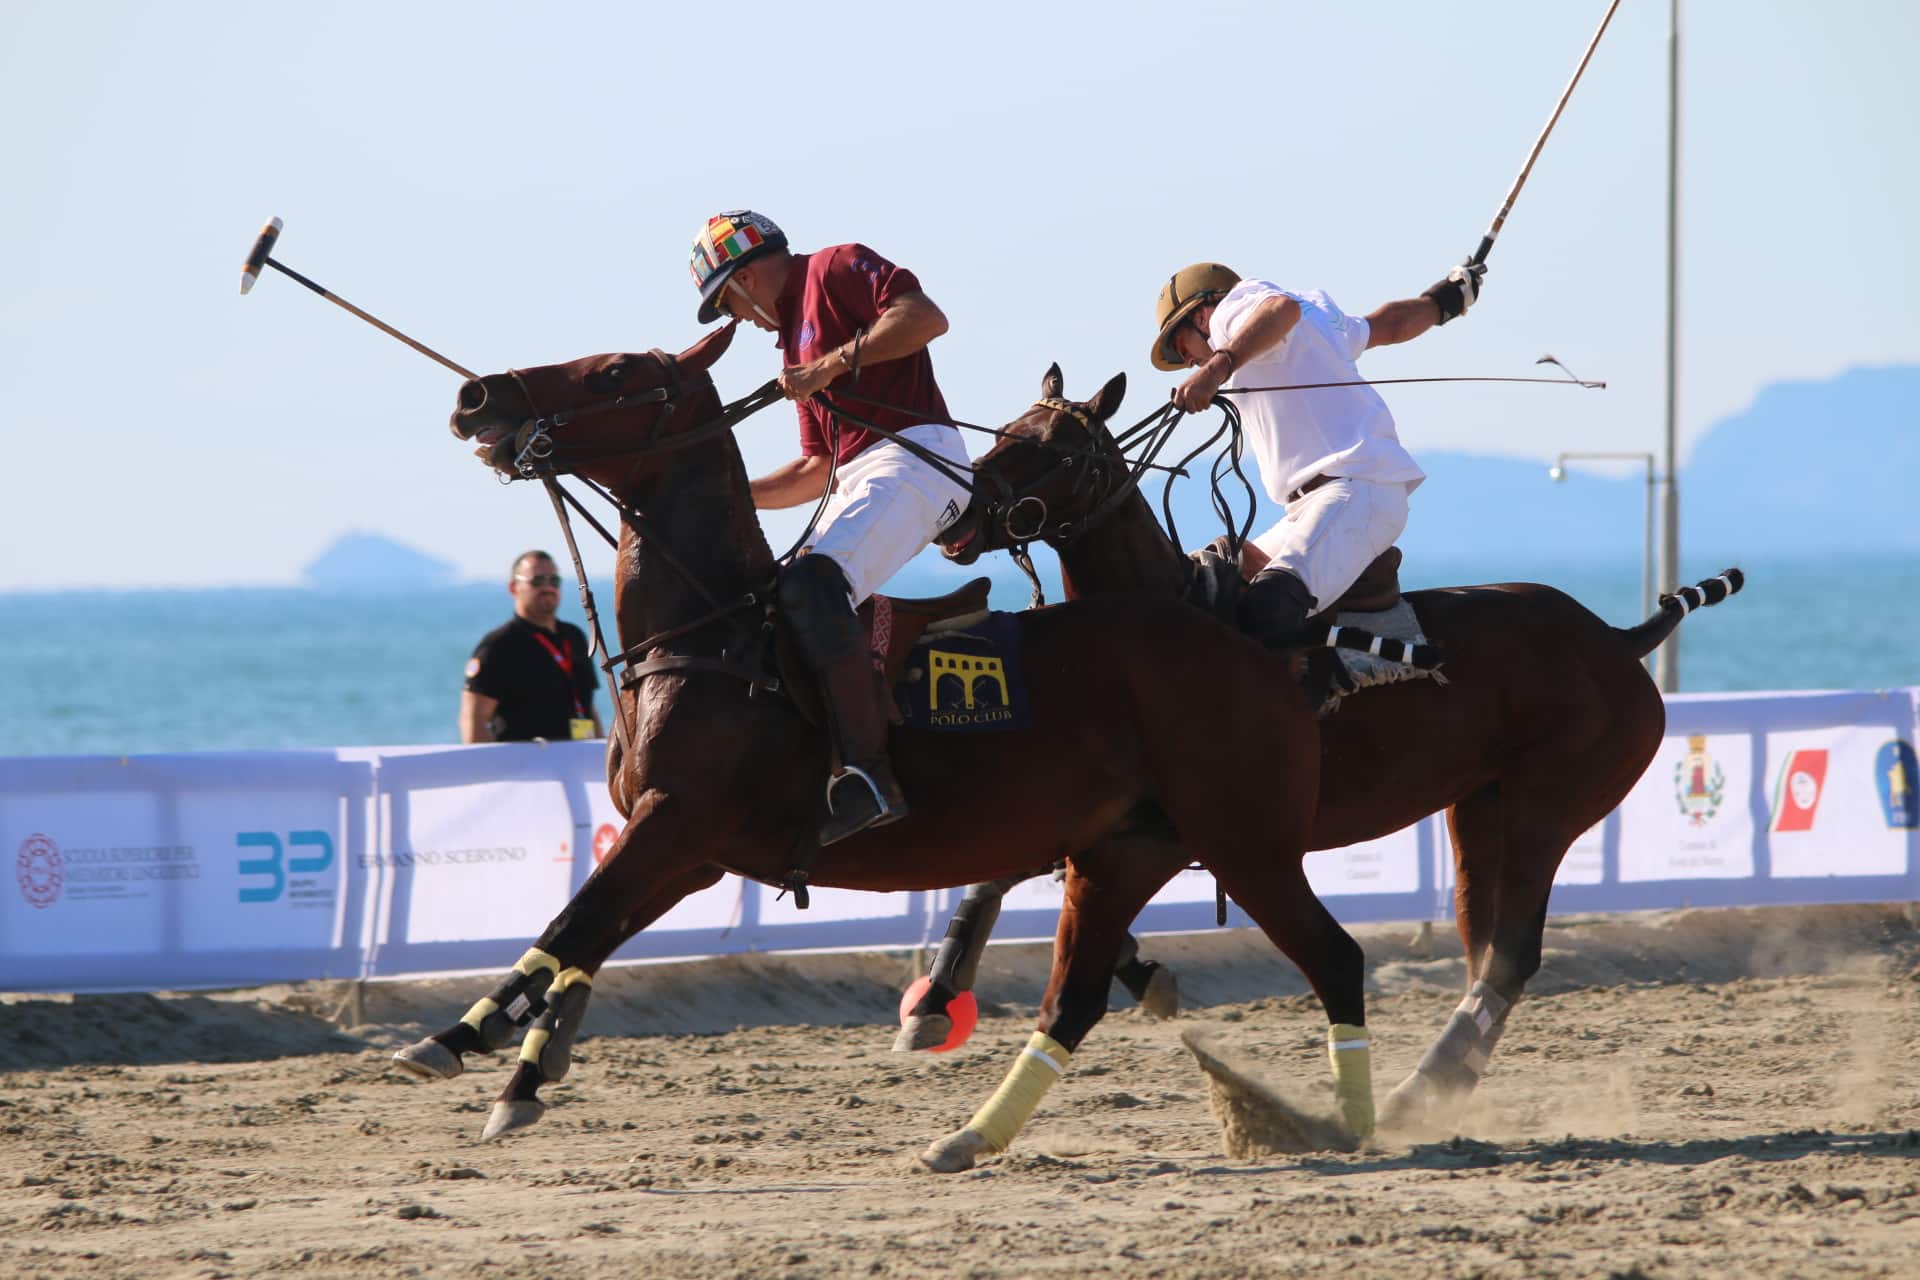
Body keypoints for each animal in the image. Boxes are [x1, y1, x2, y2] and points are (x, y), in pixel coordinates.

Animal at [397, 328, 1374, 1174]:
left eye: (611, 373)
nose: (477, 396)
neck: (712, 637)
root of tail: (1263, 648)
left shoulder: (676, 822)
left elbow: (571, 925)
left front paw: (462, 1041)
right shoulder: (692, 851)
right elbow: (584, 941)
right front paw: (513, 1063)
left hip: (1244, 839)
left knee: (1333, 957)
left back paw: (1361, 1121)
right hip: (1125, 849)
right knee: (1075, 997)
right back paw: (971, 1136)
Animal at [936, 362, 1751, 1128]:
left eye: (1052, 446)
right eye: (1005, 428)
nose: (961, 515)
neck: (1160, 624)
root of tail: (1617, 640)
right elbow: (999, 876)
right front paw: (945, 992)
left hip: (1550, 806)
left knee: (1512, 951)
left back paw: (1417, 1088)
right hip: (1478, 809)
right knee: (1484, 943)